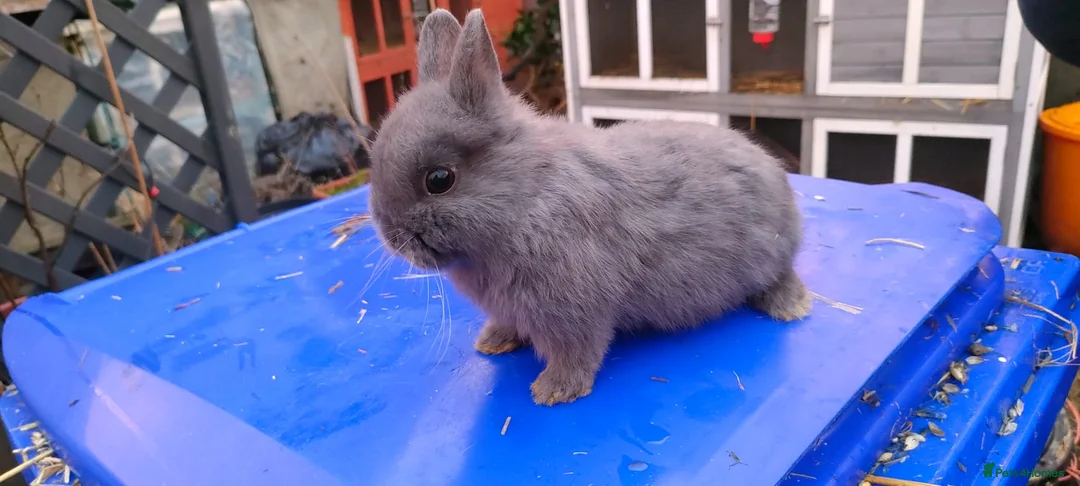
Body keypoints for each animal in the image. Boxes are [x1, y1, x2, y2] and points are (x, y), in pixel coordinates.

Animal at [366, 8, 812, 406]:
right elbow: (510, 326)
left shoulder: (574, 310)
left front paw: (552, 393)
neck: (527, 194)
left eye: (439, 180)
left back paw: (792, 308)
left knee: (782, 278)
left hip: (770, 258)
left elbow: (578, 352)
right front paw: (492, 342)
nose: (391, 236)